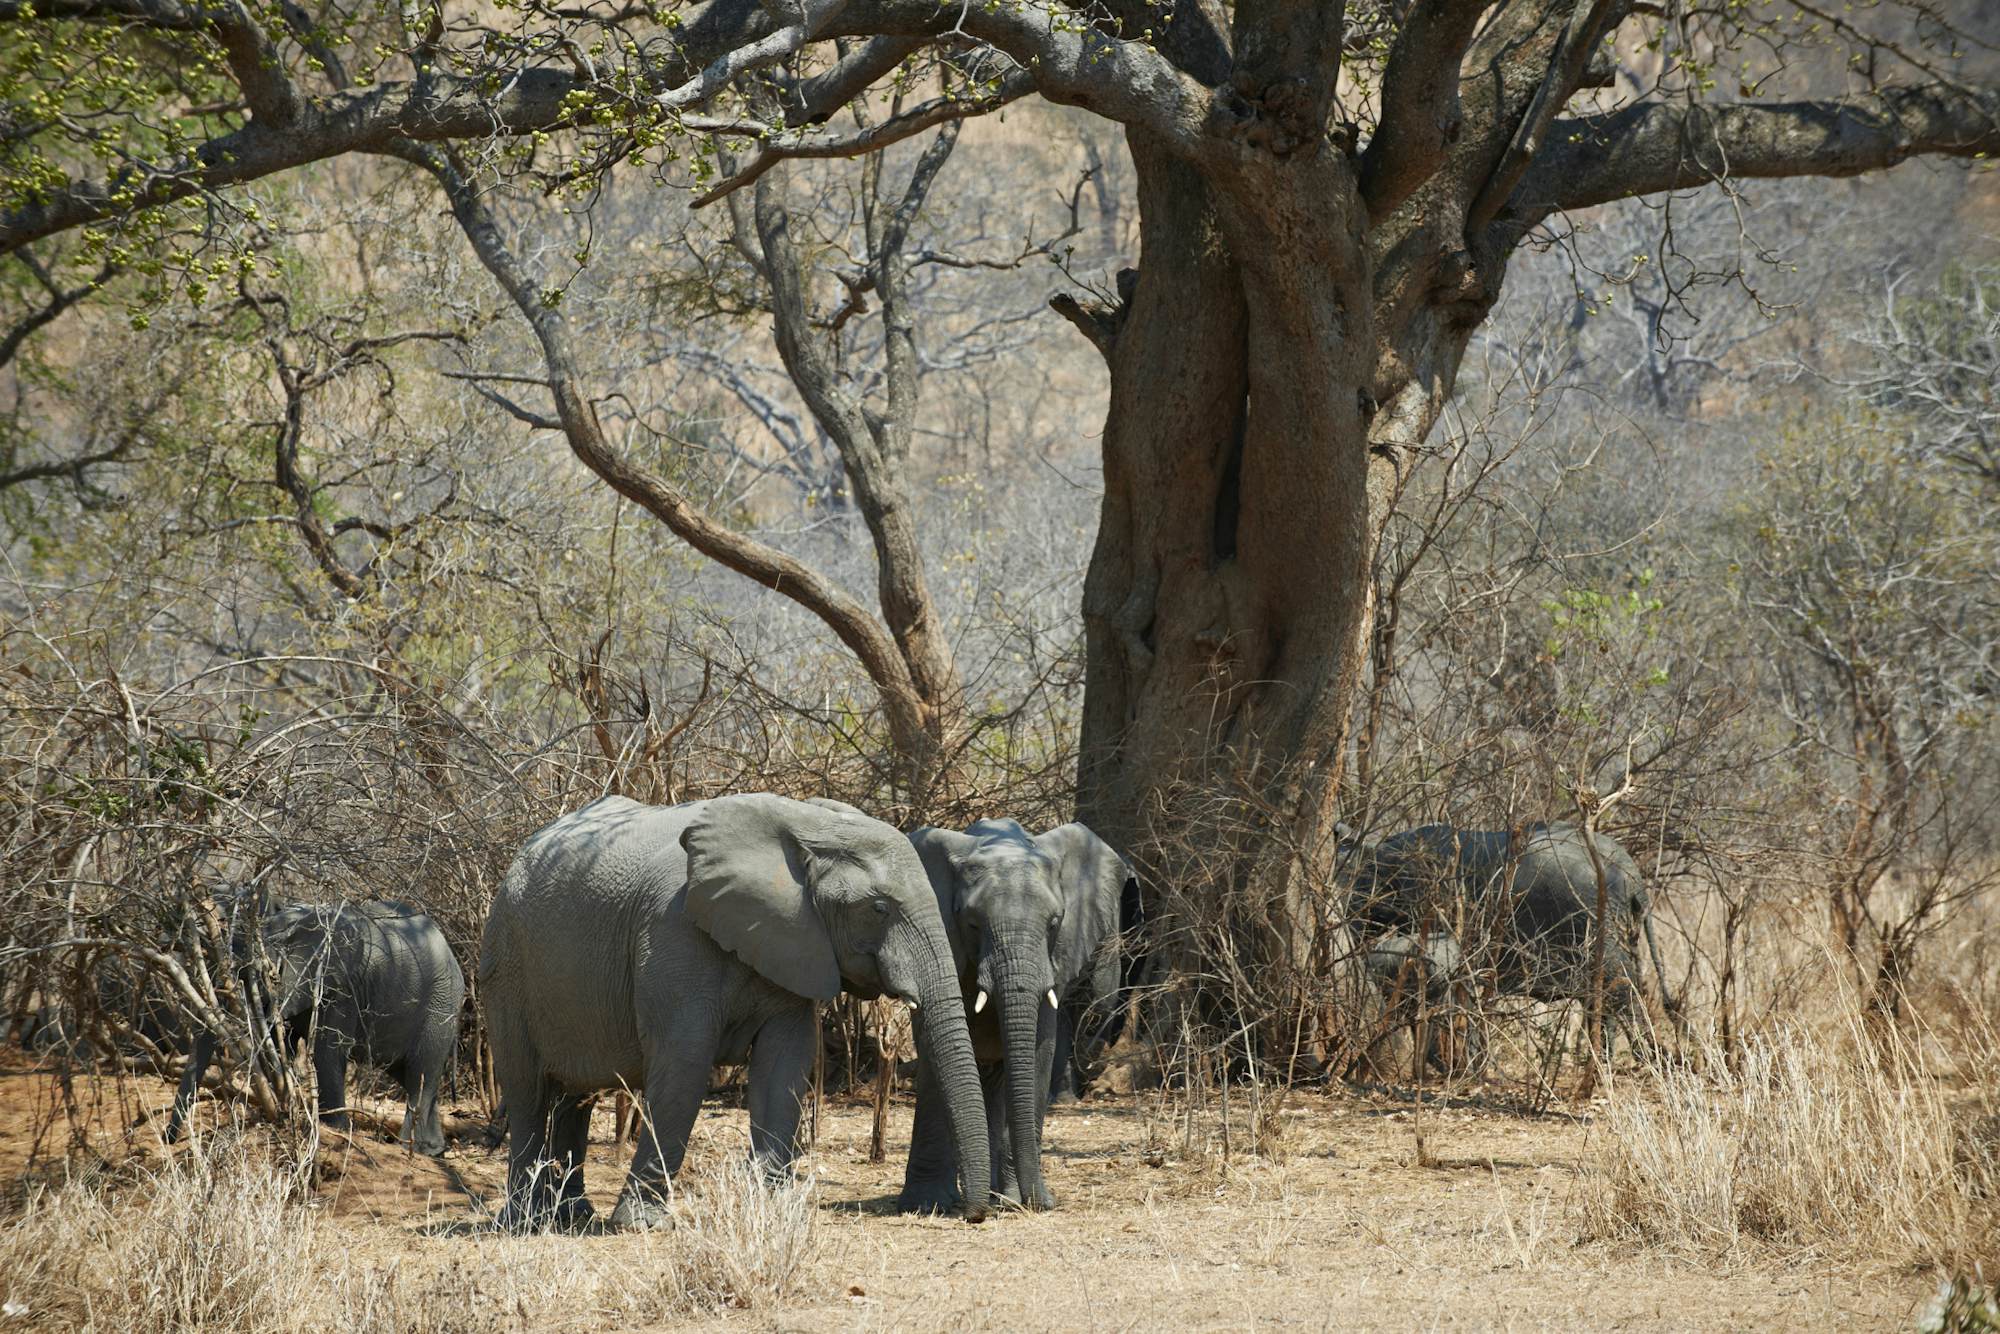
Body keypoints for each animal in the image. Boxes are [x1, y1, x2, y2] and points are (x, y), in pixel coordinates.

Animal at [164, 896, 468, 1160]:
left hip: (440, 1007)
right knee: (410, 1074)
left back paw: (411, 1148)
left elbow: (328, 1050)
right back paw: (434, 1151)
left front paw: (334, 1129)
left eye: (243, 976)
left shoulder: (339, 984)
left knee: (421, 1072)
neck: (281, 929)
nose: (169, 1139)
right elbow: (280, 1041)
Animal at [478, 792, 992, 1232]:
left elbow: (785, 1063)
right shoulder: (671, 932)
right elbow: (684, 1065)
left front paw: (771, 1209)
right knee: (528, 1091)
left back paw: (571, 1217)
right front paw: (642, 1225)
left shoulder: (794, 943)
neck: (806, 826)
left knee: (574, 1097)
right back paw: (524, 1223)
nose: (972, 1214)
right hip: (506, 964)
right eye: (879, 908)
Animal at [900, 820, 1136, 1216]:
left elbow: (1038, 1056)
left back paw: (1001, 1196)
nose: (1044, 1201)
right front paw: (926, 1204)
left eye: (1054, 923)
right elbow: (935, 1053)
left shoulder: (1053, 961)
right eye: (973, 924)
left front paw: (1023, 1202)